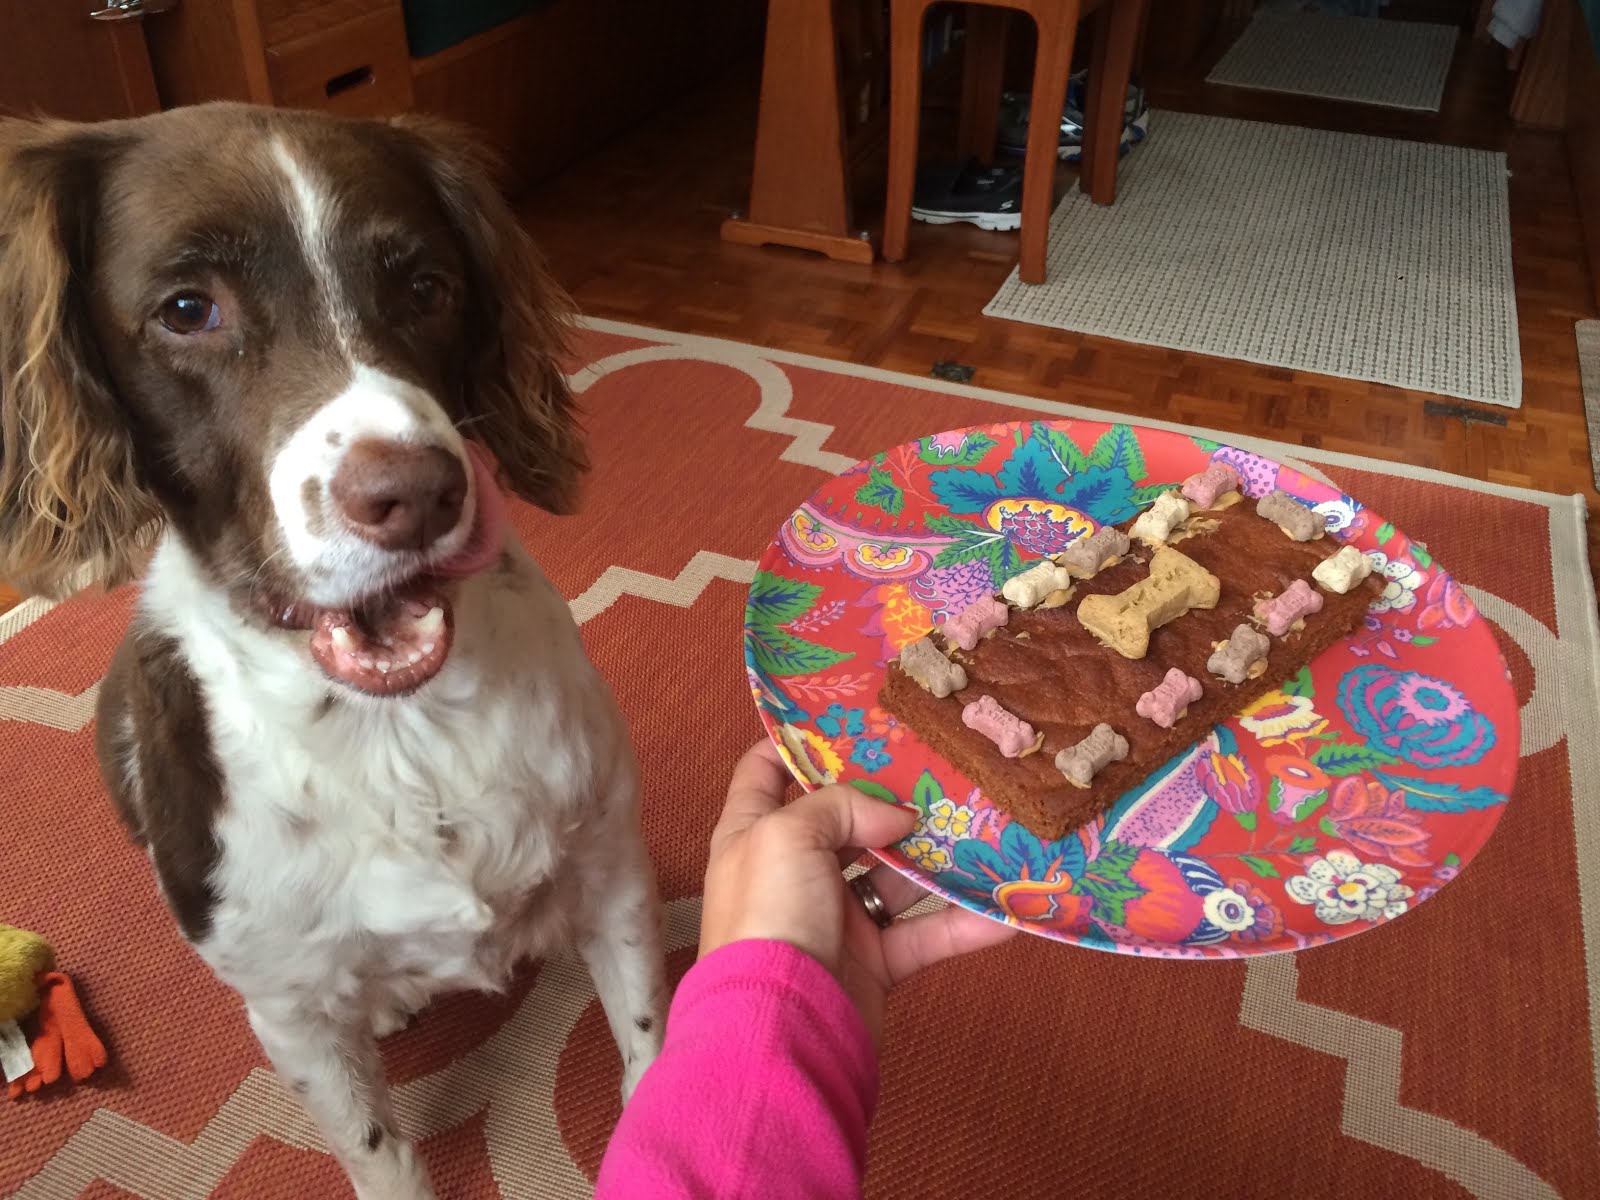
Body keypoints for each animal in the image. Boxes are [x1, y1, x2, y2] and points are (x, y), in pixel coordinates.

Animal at [0, 105, 665, 1200]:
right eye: (188, 309)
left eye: (427, 288)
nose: (418, 493)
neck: (399, 732)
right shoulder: (292, 1014)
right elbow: (376, 1151)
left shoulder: (614, 875)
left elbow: (654, 1044)